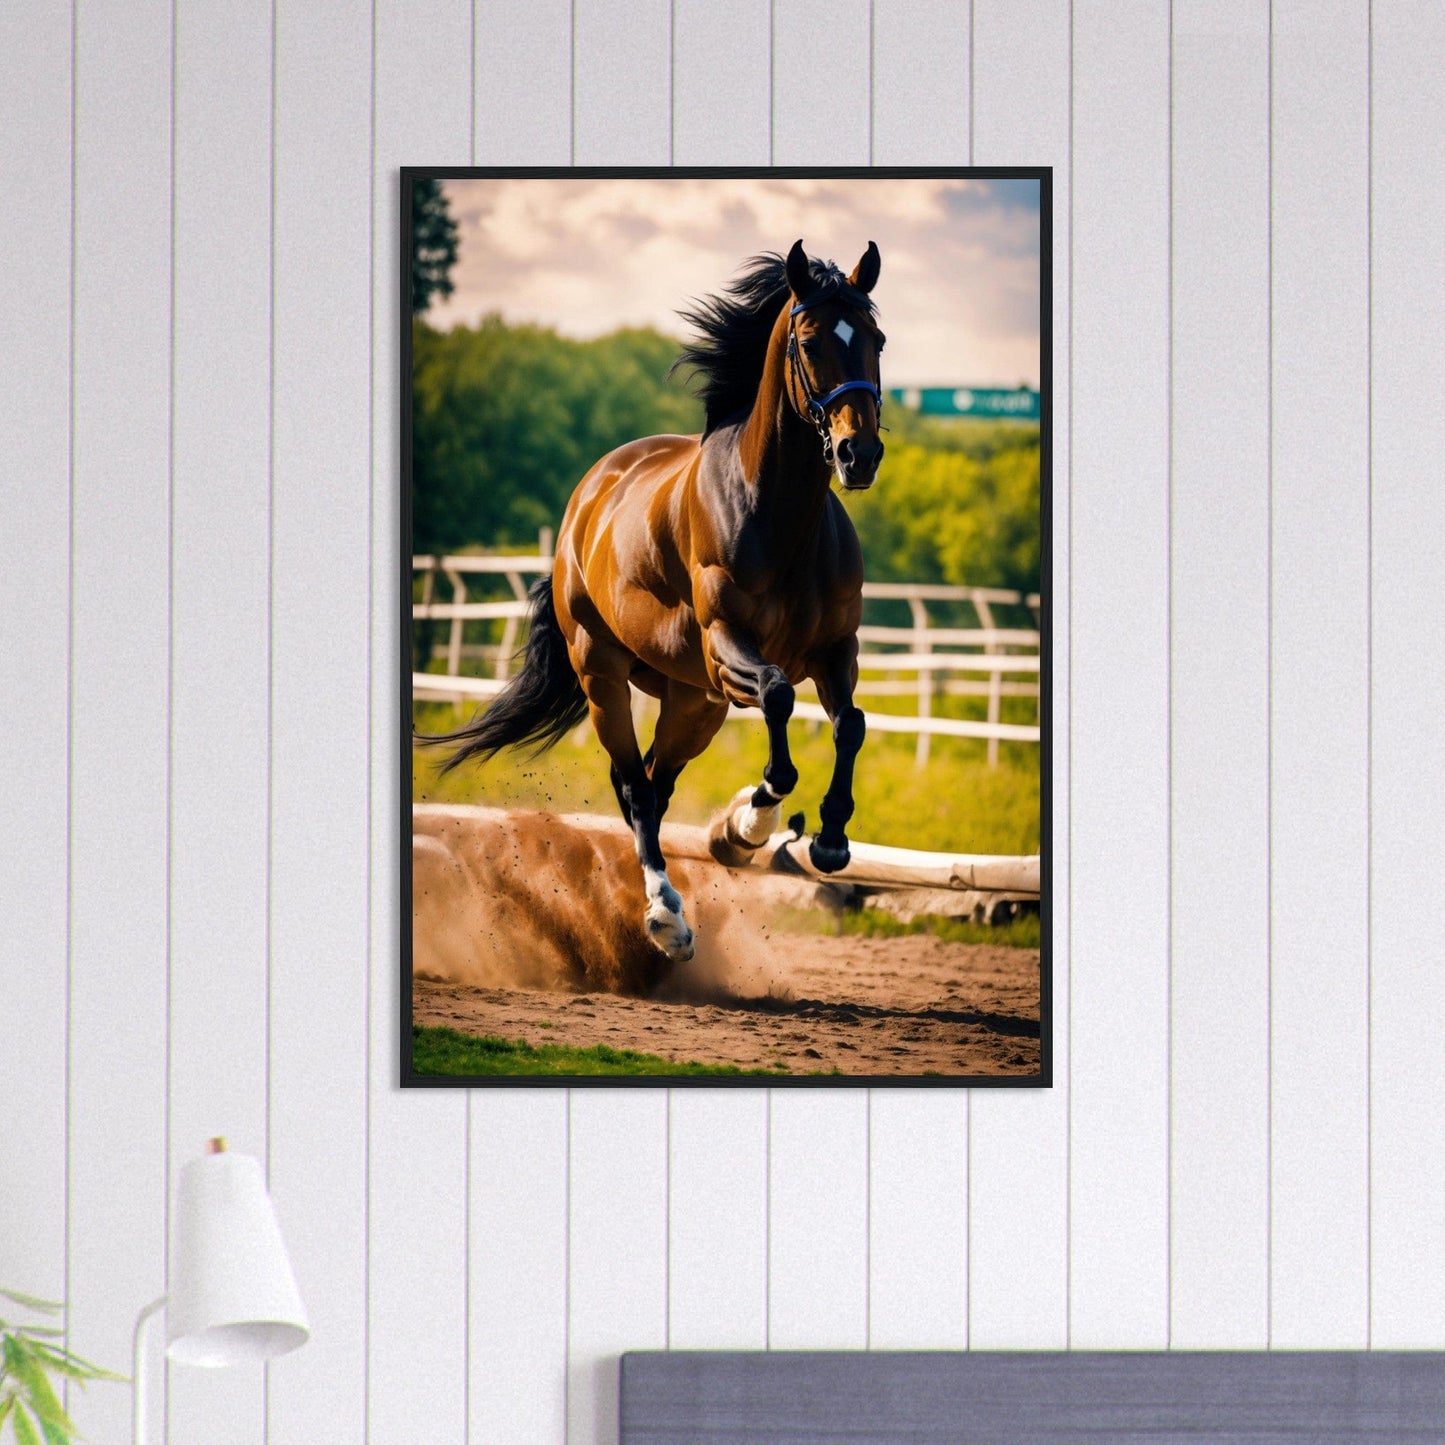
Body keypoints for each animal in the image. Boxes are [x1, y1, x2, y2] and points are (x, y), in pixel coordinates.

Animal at [429, 240, 885, 964]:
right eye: (811, 342)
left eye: (876, 339)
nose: (857, 453)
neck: (780, 519)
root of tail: (588, 497)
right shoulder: (728, 646)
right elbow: (779, 698)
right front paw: (753, 821)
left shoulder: (835, 651)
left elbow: (849, 724)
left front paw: (824, 838)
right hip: (605, 676)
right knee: (636, 790)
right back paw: (666, 917)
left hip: (691, 702)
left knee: (655, 781)